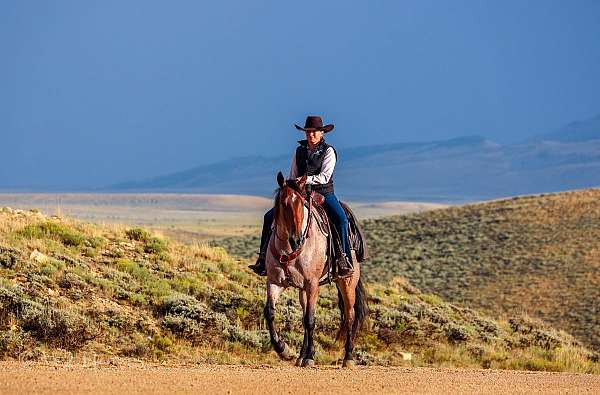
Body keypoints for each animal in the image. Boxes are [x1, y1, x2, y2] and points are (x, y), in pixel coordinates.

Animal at [264, 172, 368, 370]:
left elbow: (310, 320)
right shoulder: (275, 281)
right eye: (283, 203)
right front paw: (283, 349)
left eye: (302, 204)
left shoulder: (312, 284)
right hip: (303, 290)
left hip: (347, 282)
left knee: (350, 316)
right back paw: (301, 355)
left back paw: (348, 357)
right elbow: (270, 313)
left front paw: (310, 357)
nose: (296, 239)